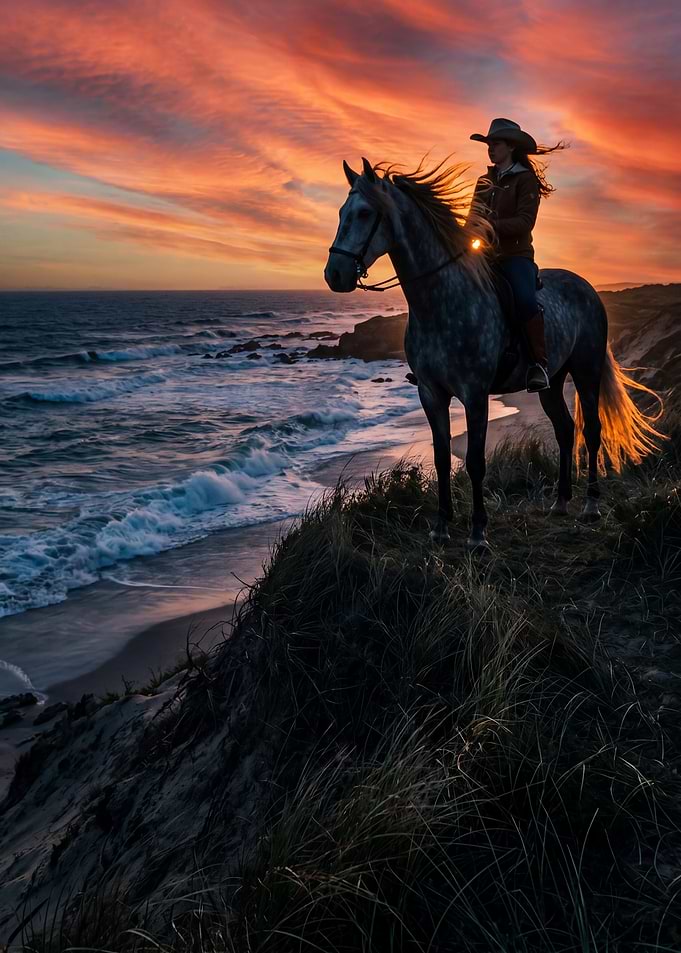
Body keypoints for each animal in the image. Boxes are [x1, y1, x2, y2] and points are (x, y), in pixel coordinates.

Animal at [324, 156, 663, 549]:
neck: (441, 300)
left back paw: (591, 505)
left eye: (364, 213)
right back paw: (561, 501)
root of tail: (588, 289)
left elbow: (474, 460)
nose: (334, 274)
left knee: (591, 430)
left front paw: (478, 532)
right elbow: (442, 457)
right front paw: (441, 526)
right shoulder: (430, 393)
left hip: (586, 370)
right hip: (551, 381)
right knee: (564, 430)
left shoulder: (475, 394)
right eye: (340, 212)